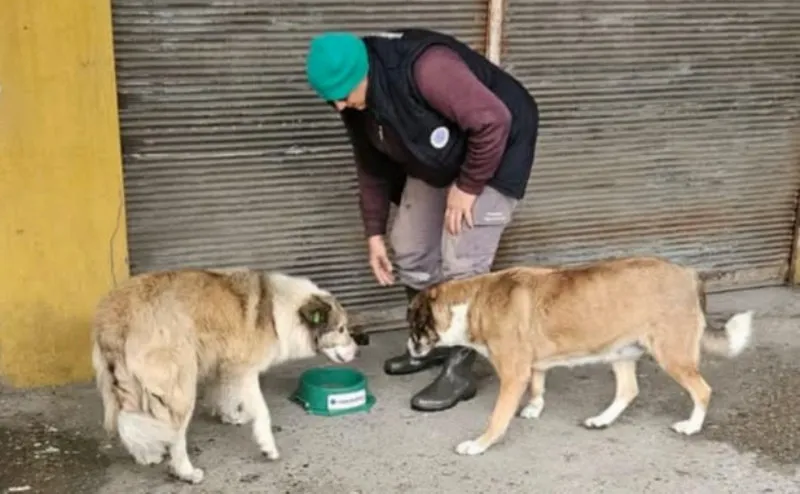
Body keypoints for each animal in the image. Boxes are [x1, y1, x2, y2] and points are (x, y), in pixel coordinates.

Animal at [92, 266, 364, 482]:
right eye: (341, 329)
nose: (358, 350)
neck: (280, 312)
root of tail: (115, 314)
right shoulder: (246, 370)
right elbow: (262, 411)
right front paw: (267, 446)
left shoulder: (228, 366)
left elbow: (228, 396)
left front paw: (231, 416)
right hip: (181, 386)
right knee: (175, 435)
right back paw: (186, 471)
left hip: (128, 384)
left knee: (129, 417)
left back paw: (145, 454)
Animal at [406, 258, 756, 456]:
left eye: (413, 324)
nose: (409, 351)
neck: (472, 303)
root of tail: (690, 273)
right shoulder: (531, 365)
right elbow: (538, 383)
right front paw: (534, 407)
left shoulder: (513, 375)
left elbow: (497, 418)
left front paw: (480, 444)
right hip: (620, 352)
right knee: (628, 391)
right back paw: (602, 420)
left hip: (672, 355)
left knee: (702, 390)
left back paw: (691, 426)